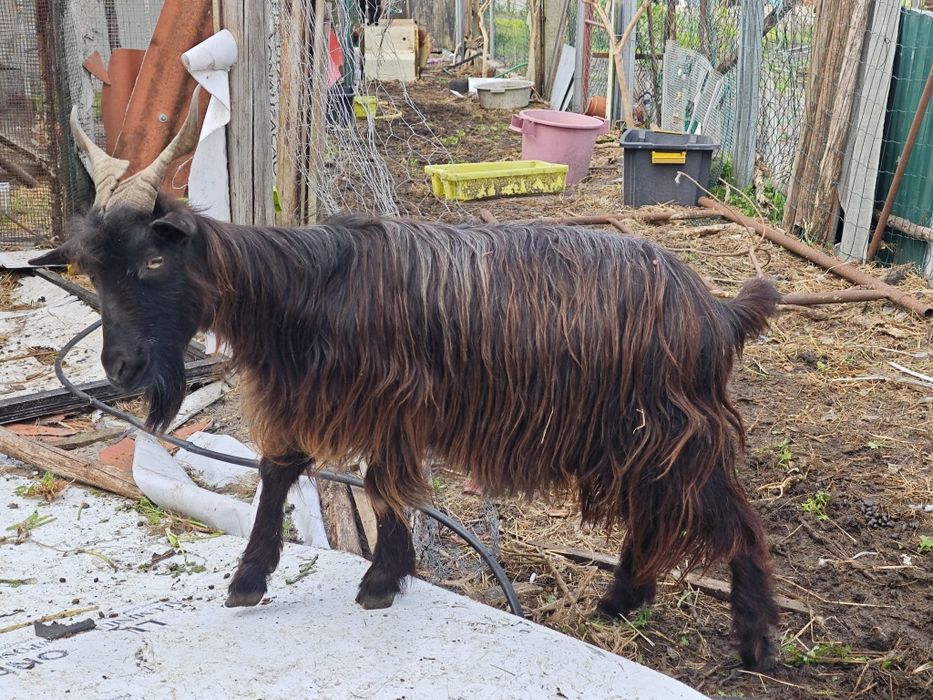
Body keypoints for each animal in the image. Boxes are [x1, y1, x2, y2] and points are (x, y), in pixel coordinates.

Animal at [33, 90, 781, 670]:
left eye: (155, 259)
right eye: (91, 269)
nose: (121, 368)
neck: (304, 291)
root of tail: (715, 309)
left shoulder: (392, 402)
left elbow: (380, 482)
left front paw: (380, 578)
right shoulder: (317, 400)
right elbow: (282, 471)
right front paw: (252, 577)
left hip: (666, 428)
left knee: (735, 520)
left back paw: (753, 644)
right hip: (637, 438)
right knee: (657, 514)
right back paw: (622, 599)